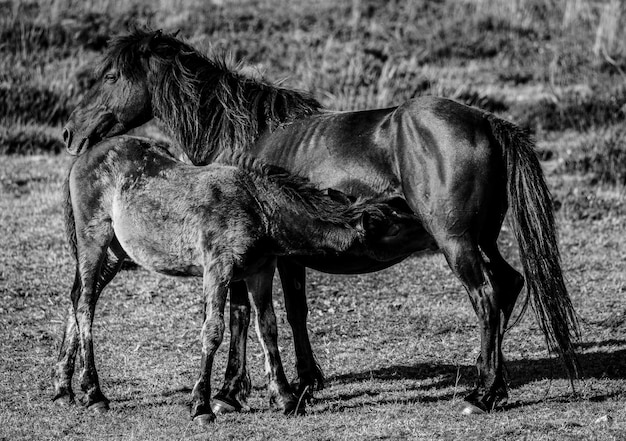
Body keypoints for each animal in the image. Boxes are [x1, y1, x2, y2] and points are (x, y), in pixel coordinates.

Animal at [61, 28, 576, 412]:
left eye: (110, 75)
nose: (71, 132)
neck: (245, 134)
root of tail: (487, 122)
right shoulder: (276, 256)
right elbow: (283, 313)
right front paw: (291, 383)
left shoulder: (260, 255)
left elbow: (249, 314)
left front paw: (234, 392)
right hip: (483, 239)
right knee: (508, 285)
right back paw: (496, 385)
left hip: (458, 243)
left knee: (486, 297)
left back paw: (481, 394)